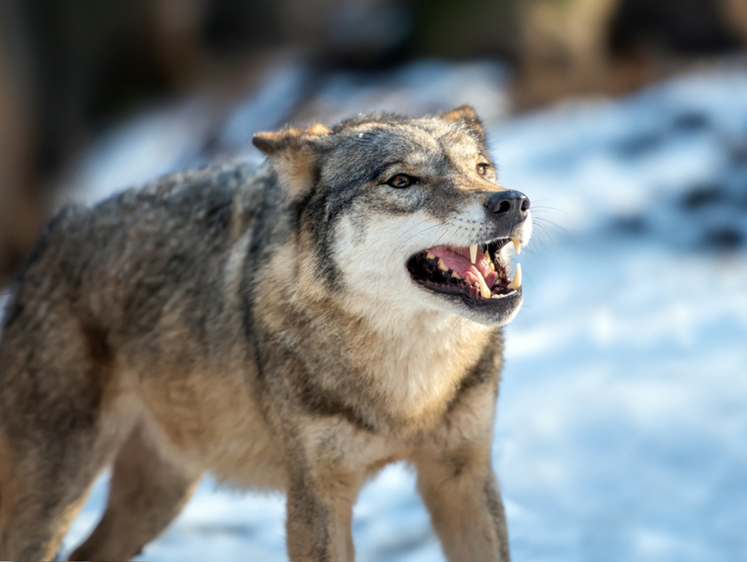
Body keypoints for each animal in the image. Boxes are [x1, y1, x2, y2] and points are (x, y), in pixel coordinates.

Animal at [0, 106, 532, 560]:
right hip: (58, 494)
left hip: (159, 494)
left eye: (482, 168)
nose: (513, 202)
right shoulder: (316, 496)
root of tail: (54, 233)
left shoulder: (463, 477)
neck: (408, 392)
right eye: (401, 180)